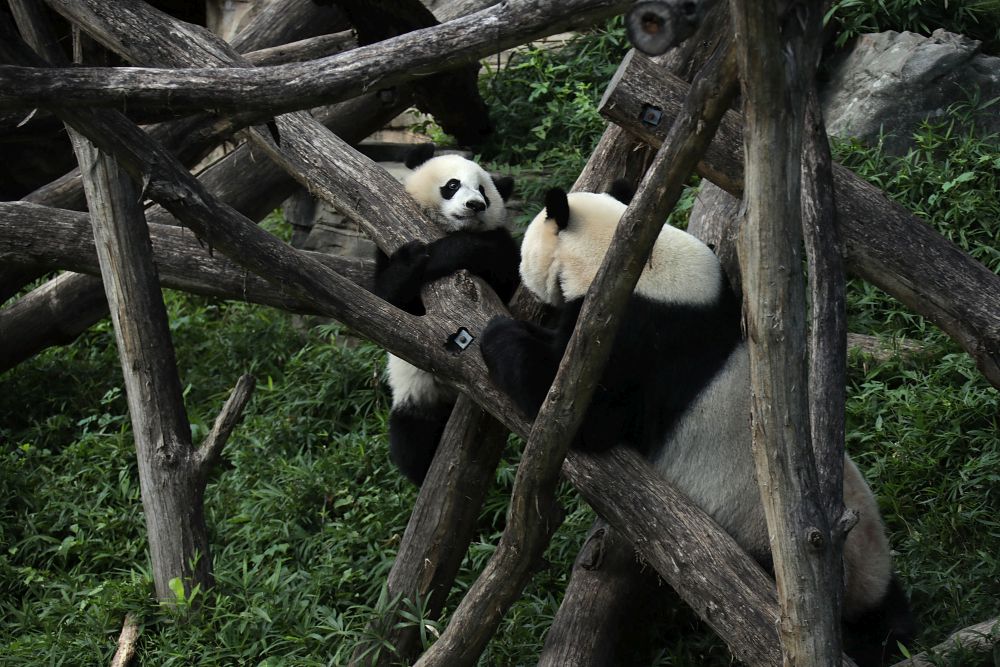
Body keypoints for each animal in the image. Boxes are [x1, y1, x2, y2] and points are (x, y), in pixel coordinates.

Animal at [374, 146, 516, 488]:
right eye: (452, 185)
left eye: (483, 191)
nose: (475, 205)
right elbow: (387, 301)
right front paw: (414, 259)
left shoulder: (502, 247)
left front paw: (456, 251)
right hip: (418, 396)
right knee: (411, 438)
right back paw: (423, 472)